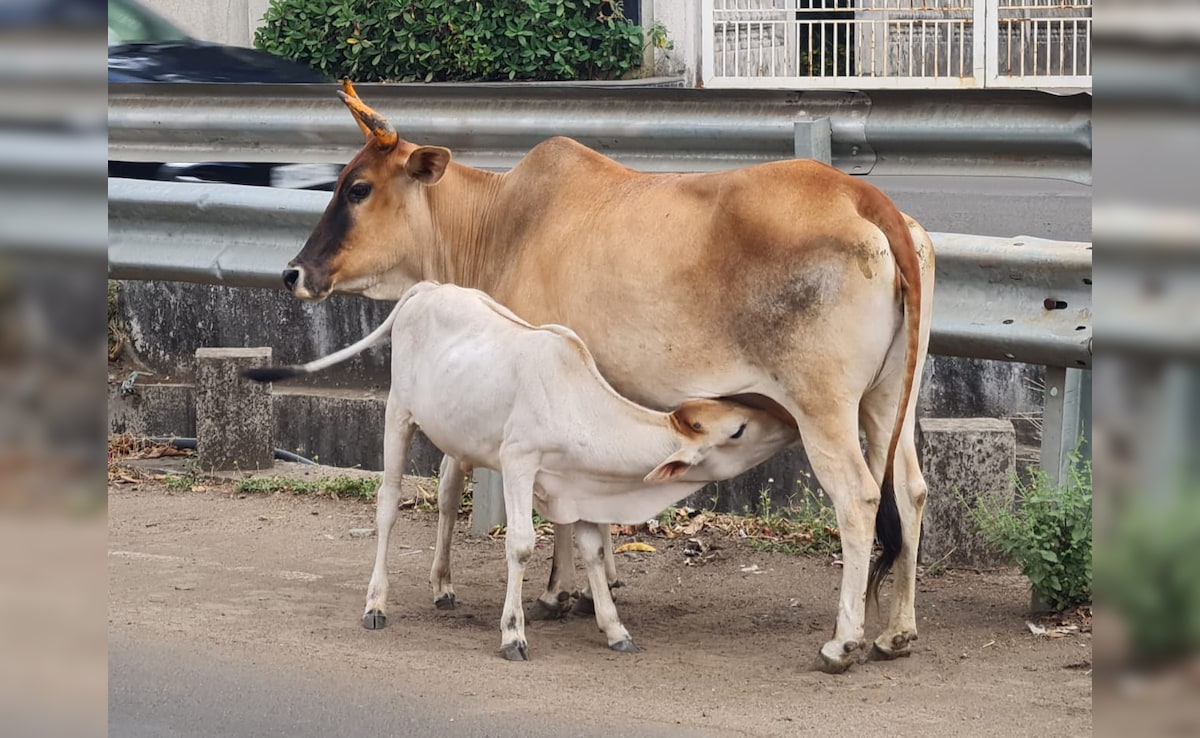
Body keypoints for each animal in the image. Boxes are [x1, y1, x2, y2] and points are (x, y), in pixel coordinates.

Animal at [247, 280, 797, 659]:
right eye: (738, 429)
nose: (791, 422)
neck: (577, 400)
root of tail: (428, 288)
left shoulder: (577, 485)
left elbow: (593, 550)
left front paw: (614, 628)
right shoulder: (518, 463)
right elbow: (521, 544)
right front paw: (513, 632)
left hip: (457, 437)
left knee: (447, 495)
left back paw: (443, 586)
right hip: (397, 416)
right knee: (387, 504)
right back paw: (376, 604)